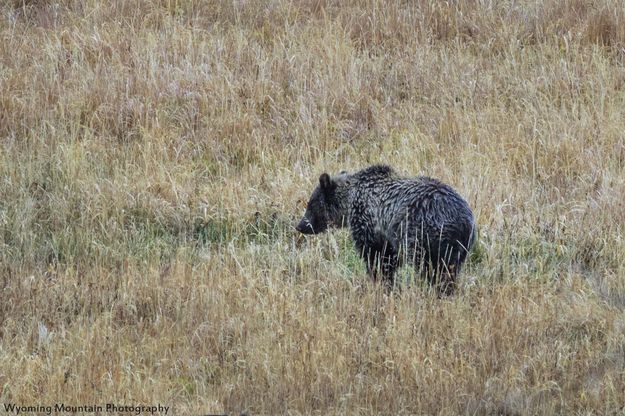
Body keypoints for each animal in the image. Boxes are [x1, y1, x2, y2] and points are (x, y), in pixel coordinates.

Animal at [294, 164, 476, 294]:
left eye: (311, 203)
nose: (300, 226)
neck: (350, 202)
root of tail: (463, 221)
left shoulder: (369, 223)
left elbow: (377, 258)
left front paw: (381, 282)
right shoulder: (387, 236)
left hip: (424, 234)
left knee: (431, 269)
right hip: (459, 247)